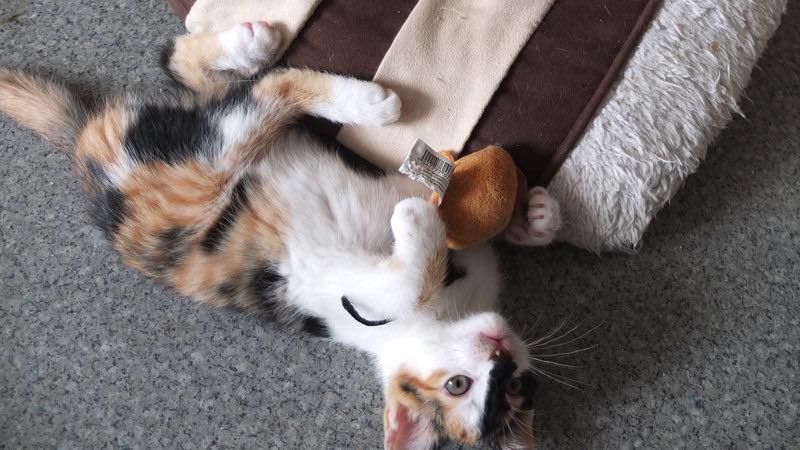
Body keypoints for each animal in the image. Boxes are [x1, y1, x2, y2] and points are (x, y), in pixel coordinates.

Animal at [0, 21, 561, 449]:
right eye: (459, 385)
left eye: (513, 384)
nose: (500, 349)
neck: (453, 304)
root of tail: (82, 143)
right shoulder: (337, 287)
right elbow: (411, 281)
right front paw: (442, 218)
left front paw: (534, 217)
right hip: (209, 172)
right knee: (253, 89)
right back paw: (359, 96)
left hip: (205, 148)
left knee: (207, 80)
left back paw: (251, 45)